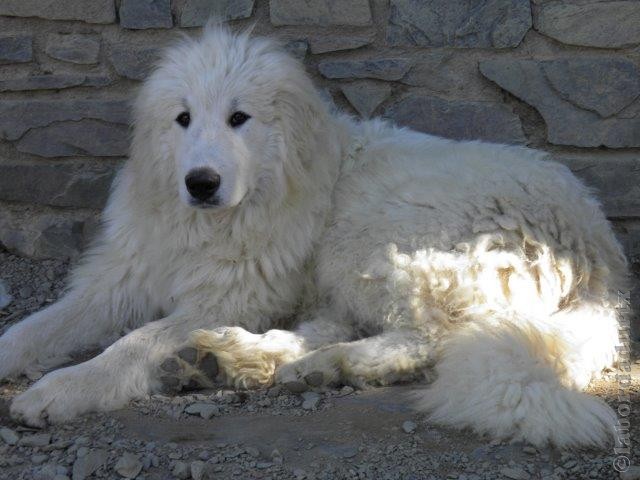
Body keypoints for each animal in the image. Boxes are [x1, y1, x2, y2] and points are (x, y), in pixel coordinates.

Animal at [0, 25, 628, 446]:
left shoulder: (230, 294)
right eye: (182, 119)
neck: (213, 222)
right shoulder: (119, 279)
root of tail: (597, 248)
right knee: (344, 328)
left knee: (432, 339)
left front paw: (61, 389)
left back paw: (308, 364)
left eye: (239, 118)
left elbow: (133, 342)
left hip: (376, 243)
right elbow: (37, 326)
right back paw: (244, 361)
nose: (200, 183)